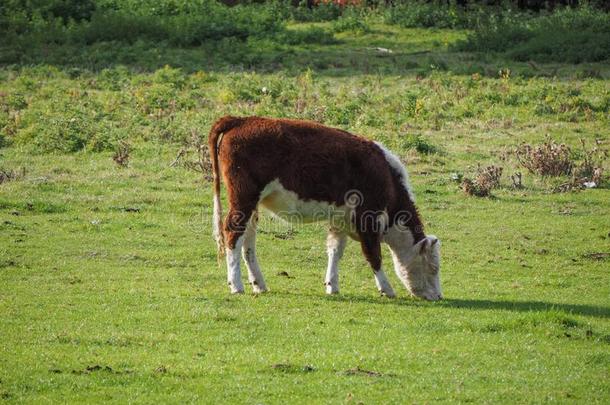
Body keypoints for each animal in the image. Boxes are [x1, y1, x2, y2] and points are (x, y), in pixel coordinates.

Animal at [209, 115, 442, 298]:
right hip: (243, 199)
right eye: (433, 267)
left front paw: (332, 285)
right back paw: (236, 285)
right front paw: (386, 288)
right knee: (233, 233)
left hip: (252, 205)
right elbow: (373, 254)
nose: (438, 296)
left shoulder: (340, 219)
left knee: (248, 241)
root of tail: (242, 120)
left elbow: (335, 251)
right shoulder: (368, 218)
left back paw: (259, 284)